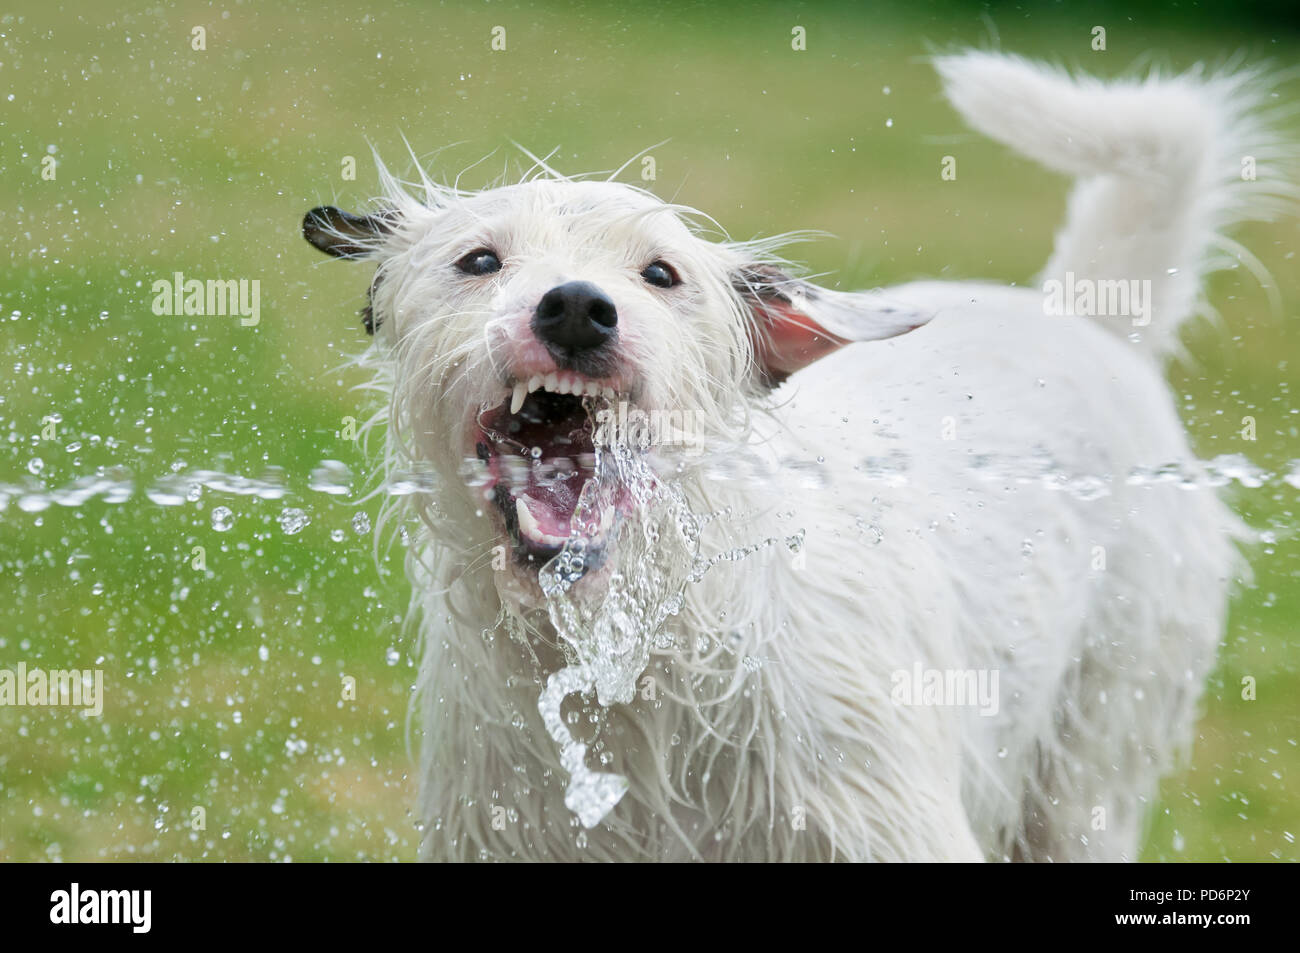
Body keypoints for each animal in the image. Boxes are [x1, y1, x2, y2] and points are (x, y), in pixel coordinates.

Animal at [301, 52, 1289, 858]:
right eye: (479, 261)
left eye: (660, 273)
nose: (576, 306)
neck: (648, 645)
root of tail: (1081, 317)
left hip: (1090, 771)